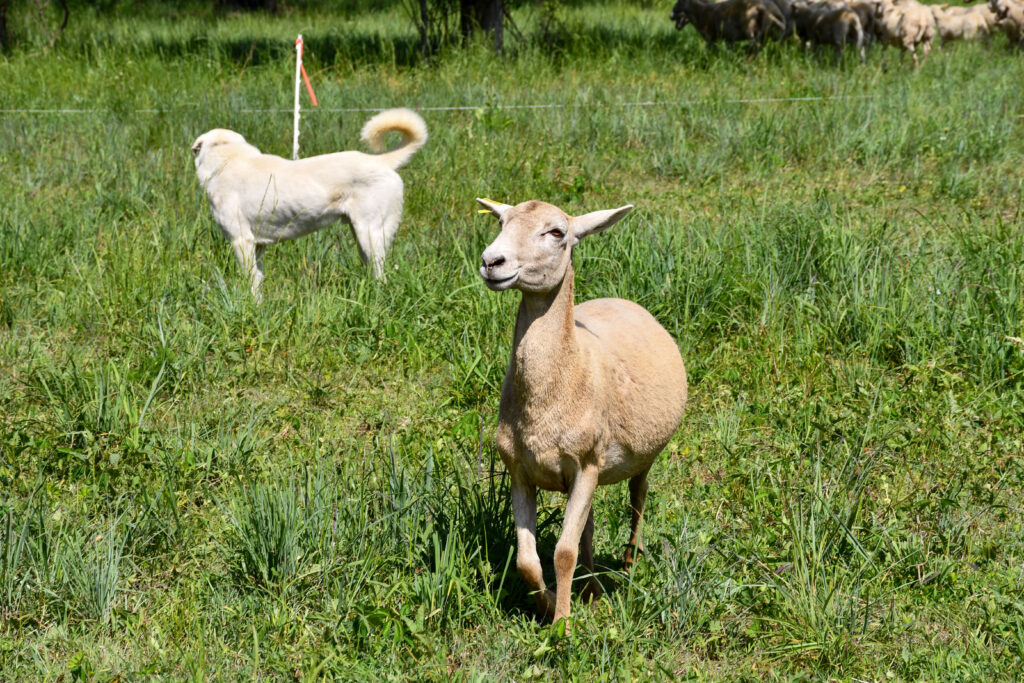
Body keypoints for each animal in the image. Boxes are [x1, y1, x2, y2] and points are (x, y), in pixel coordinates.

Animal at [476, 198, 687, 628]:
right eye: (501, 222)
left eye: (557, 232)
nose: (491, 261)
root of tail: (623, 300)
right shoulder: (520, 470)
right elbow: (528, 562)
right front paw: (549, 604)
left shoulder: (586, 464)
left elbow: (562, 552)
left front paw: (562, 626)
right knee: (586, 527)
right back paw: (589, 588)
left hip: (636, 458)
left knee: (638, 500)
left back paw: (627, 567)